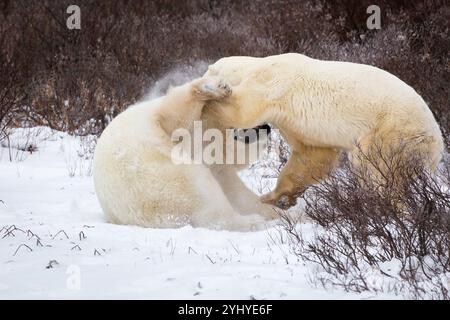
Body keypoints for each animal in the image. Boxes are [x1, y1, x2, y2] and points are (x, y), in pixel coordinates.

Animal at [93, 75, 276, 230]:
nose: (266, 126)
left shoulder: (218, 166)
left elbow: (237, 191)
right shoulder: (167, 124)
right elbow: (176, 116)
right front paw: (219, 87)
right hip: (170, 178)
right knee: (207, 199)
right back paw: (255, 221)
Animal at [202, 53, 444, 208]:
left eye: (207, 71)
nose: (203, 78)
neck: (256, 65)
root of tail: (436, 143)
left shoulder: (273, 83)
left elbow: (242, 109)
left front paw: (211, 95)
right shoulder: (294, 123)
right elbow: (311, 156)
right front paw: (273, 197)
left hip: (391, 130)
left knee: (374, 166)